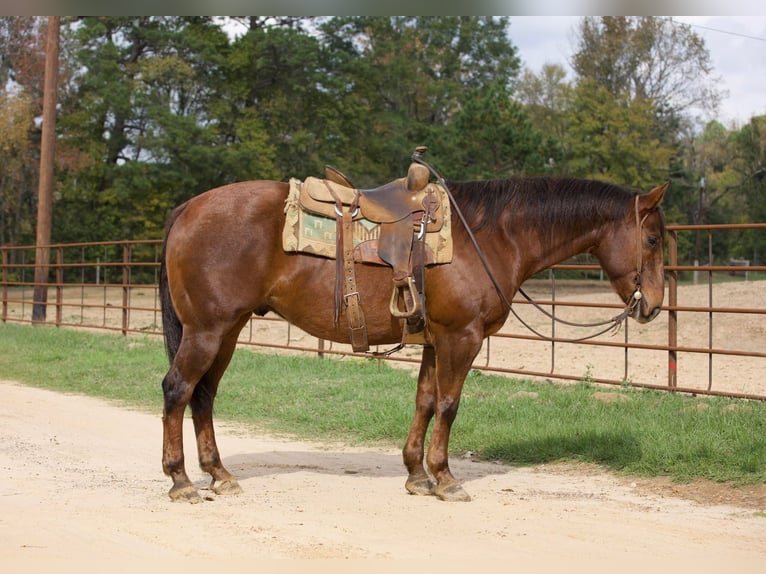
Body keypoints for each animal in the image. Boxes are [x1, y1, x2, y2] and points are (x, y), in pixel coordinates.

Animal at [159, 170, 668, 504]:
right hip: (207, 331)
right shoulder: (462, 339)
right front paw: (446, 478)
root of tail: (188, 208)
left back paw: (219, 474)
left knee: (204, 395)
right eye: (654, 240)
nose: (653, 305)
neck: (492, 236)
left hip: (227, 331)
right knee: (178, 390)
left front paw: (417, 475)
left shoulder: (434, 341)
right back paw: (180, 481)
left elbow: (424, 402)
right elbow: (449, 405)